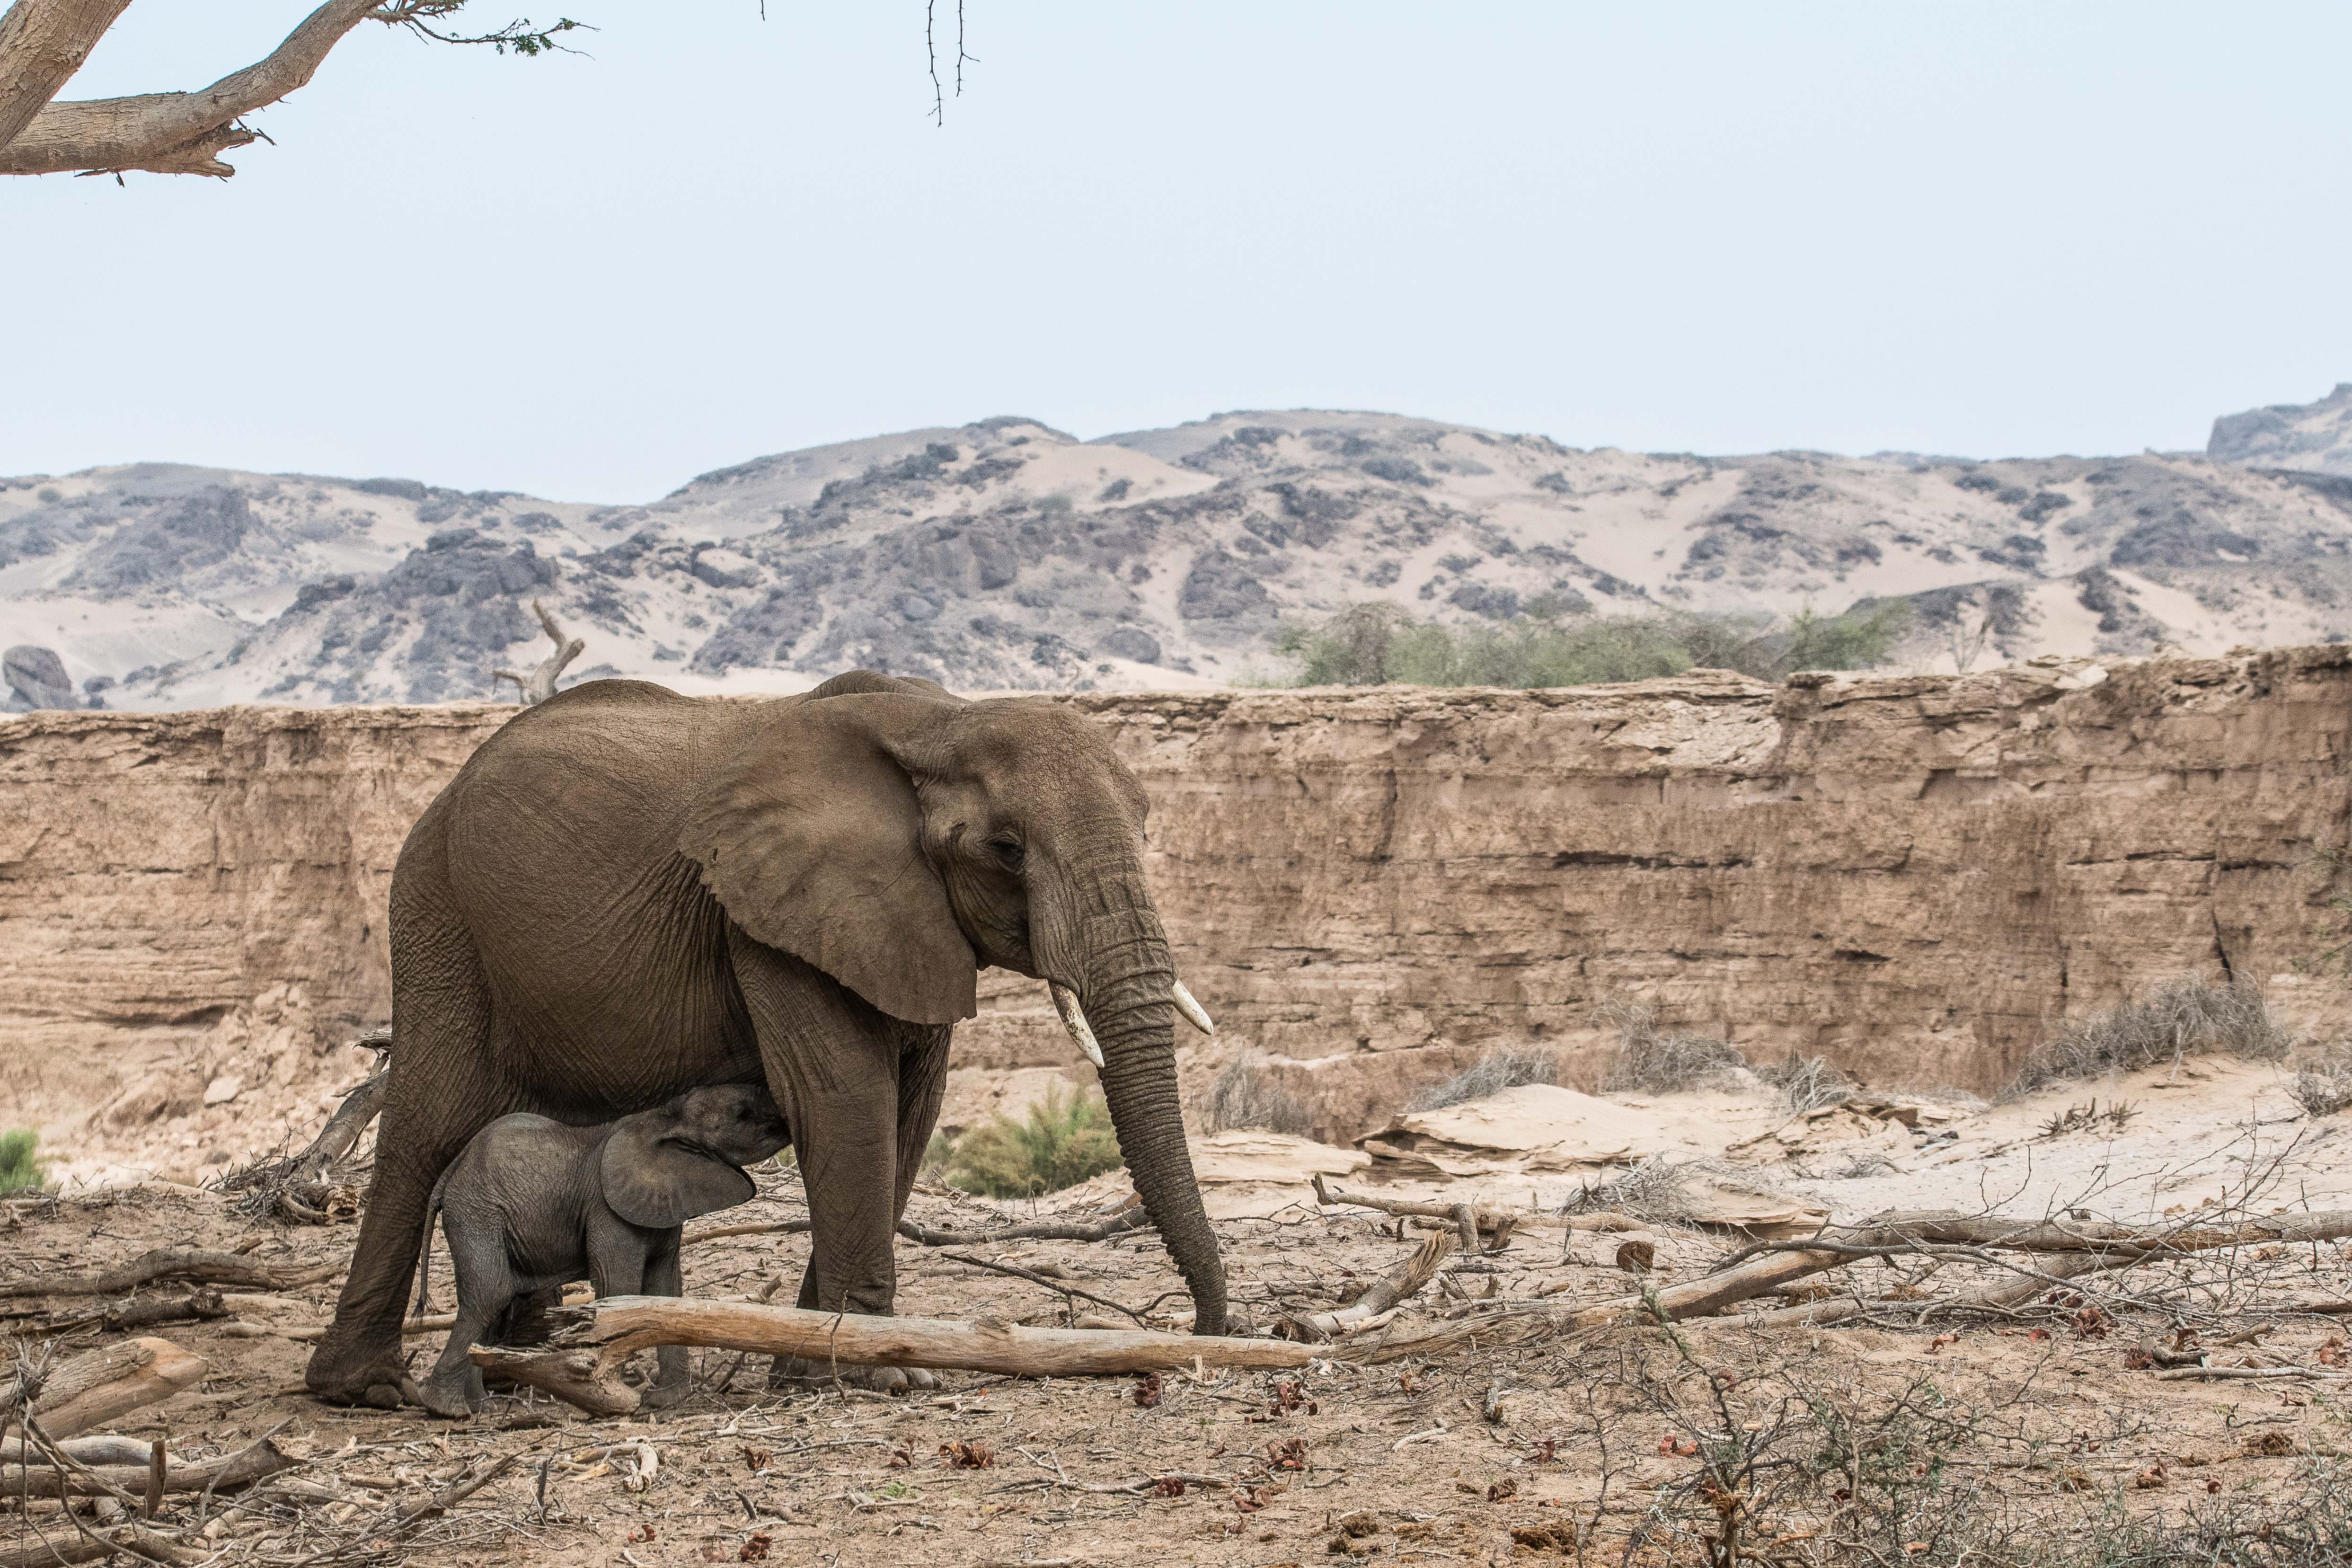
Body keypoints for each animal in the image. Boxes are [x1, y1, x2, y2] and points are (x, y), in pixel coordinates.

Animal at [414, 1086, 790, 1420]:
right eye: (742, 1114)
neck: (664, 1115)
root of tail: (453, 1168)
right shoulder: (608, 1210)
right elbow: (620, 1286)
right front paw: (616, 1399)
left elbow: (666, 1290)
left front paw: (665, 1400)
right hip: (476, 1213)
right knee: (492, 1292)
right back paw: (446, 1409)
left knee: (494, 1301)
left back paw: (482, 1409)